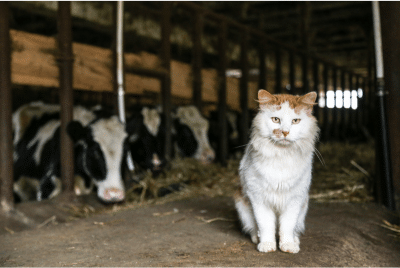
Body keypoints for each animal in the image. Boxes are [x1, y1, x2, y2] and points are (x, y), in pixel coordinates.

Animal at [234, 89, 318, 253]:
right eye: (276, 119)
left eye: (295, 121)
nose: (285, 132)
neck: (282, 155)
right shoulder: (258, 198)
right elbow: (266, 225)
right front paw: (267, 245)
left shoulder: (295, 199)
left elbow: (287, 227)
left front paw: (288, 246)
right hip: (242, 205)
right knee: (254, 228)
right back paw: (257, 238)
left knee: (295, 228)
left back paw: (295, 241)